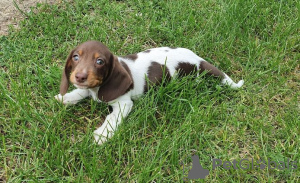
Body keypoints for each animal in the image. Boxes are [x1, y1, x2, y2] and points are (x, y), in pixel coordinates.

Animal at [55, 40, 244, 145]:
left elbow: (112, 118)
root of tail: (198, 59)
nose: (79, 77)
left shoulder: (124, 103)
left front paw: (102, 135)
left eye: (99, 61)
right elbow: (81, 92)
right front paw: (66, 98)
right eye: (76, 57)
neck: (97, 88)